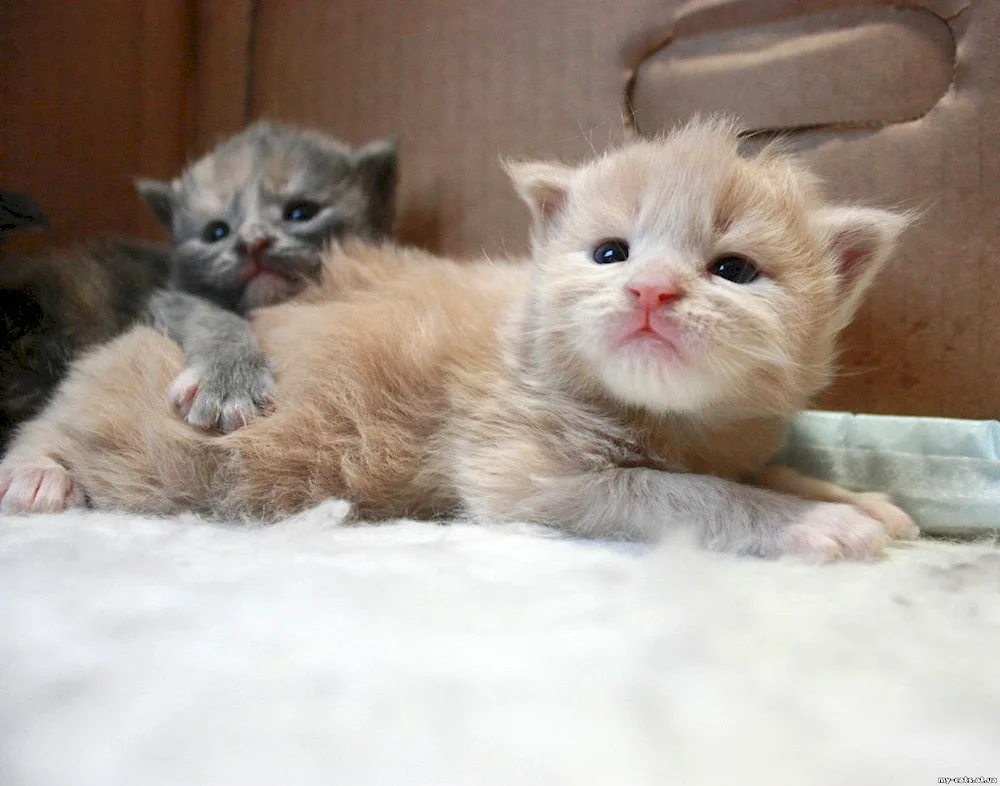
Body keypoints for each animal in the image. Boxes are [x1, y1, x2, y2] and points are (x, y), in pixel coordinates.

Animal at [139, 119, 396, 432]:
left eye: (300, 212)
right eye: (216, 232)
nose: (252, 241)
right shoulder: (173, 298)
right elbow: (212, 317)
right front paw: (228, 381)